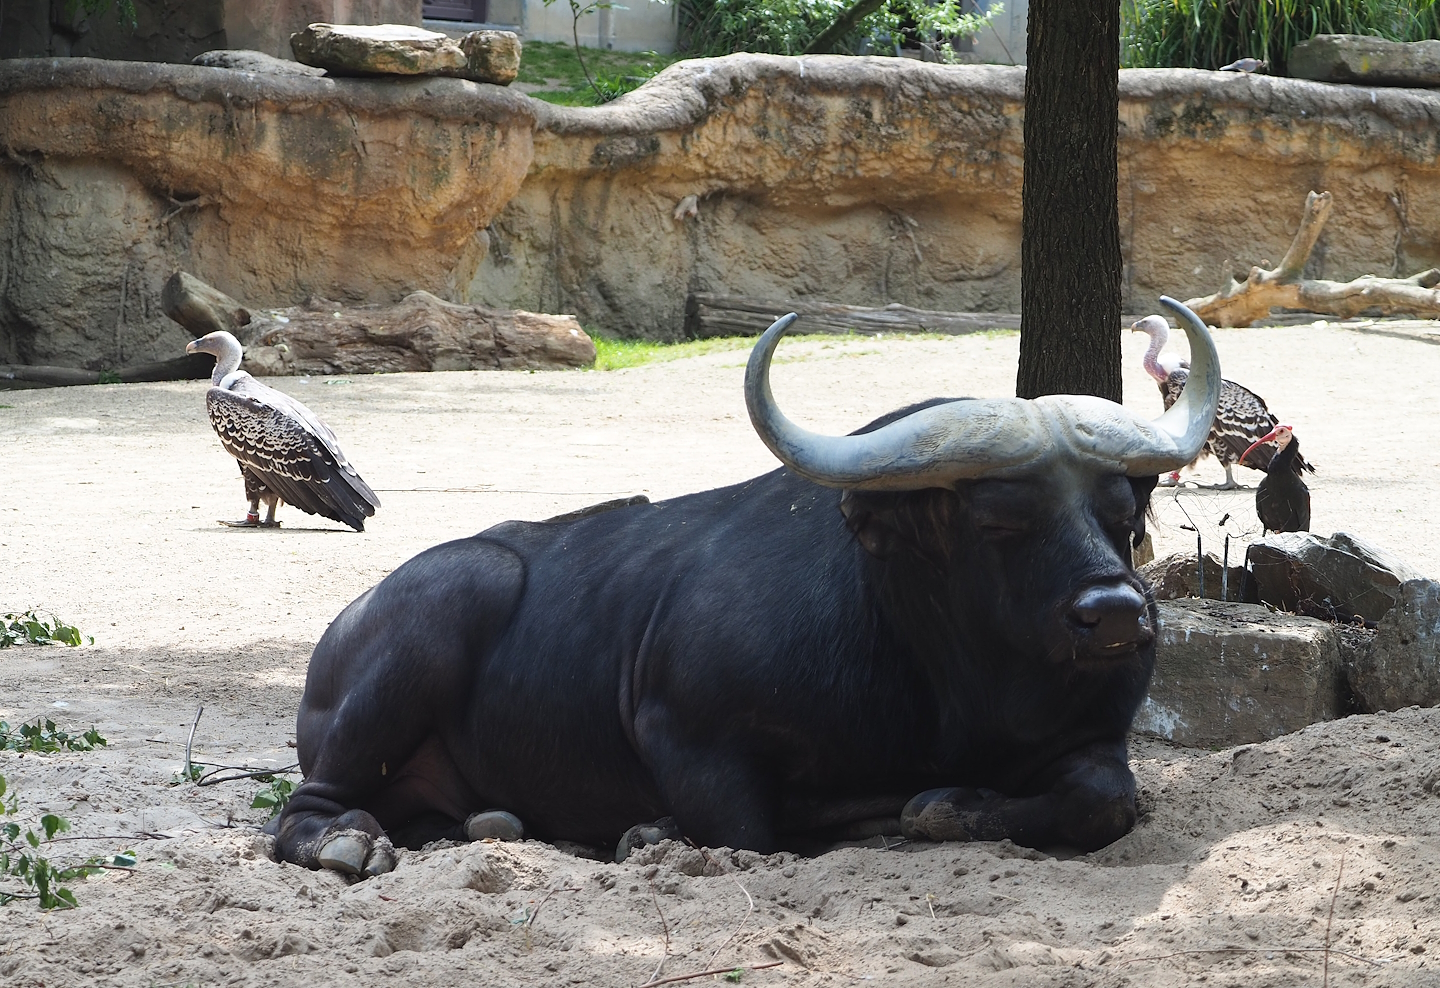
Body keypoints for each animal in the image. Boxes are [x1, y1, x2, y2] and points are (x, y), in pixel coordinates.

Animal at [271, 297, 1221, 876]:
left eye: (1123, 513)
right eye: (999, 521)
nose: (1115, 617)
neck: (944, 678)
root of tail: (342, 629)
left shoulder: (1094, 736)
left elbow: (1103, 800)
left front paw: (947, 808)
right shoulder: (689, 734)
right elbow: (748, 835)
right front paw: (654, 830)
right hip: (447, 602)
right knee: (302, 808)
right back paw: (346, 846)